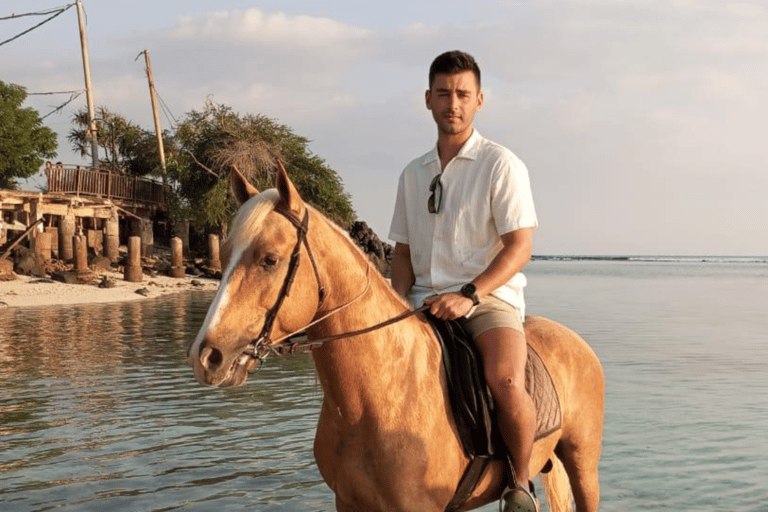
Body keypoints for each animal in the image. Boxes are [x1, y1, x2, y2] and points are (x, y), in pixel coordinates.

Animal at [186, 161, 608, 512]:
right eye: (224, 255)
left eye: (269, 260)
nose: (206, 357)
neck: (378, 397)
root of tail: (577, 343)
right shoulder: (349, 503)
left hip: (582, 464)